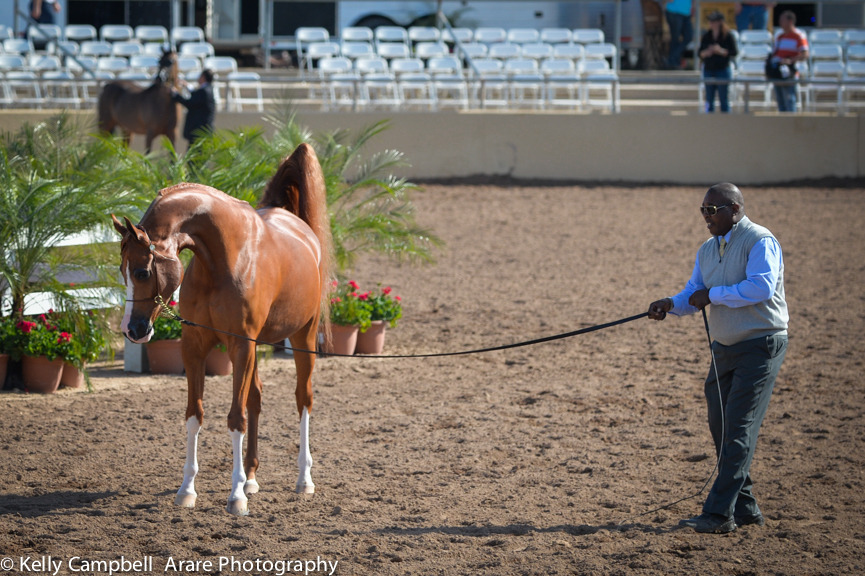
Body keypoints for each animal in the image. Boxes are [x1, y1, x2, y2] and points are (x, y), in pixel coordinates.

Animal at [111, 143, 332, 516]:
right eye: (122, 272)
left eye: (142, 272)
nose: (133, 330)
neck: (225, 259)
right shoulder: (195, 345)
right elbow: (195, 415)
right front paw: (187, 490)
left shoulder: (240, 345)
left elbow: (235, 418)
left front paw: (236, 496)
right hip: (256, 347)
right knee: (256, 397)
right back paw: (252, 478)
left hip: (301, 337)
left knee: (303, 400)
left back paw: (304, 480)